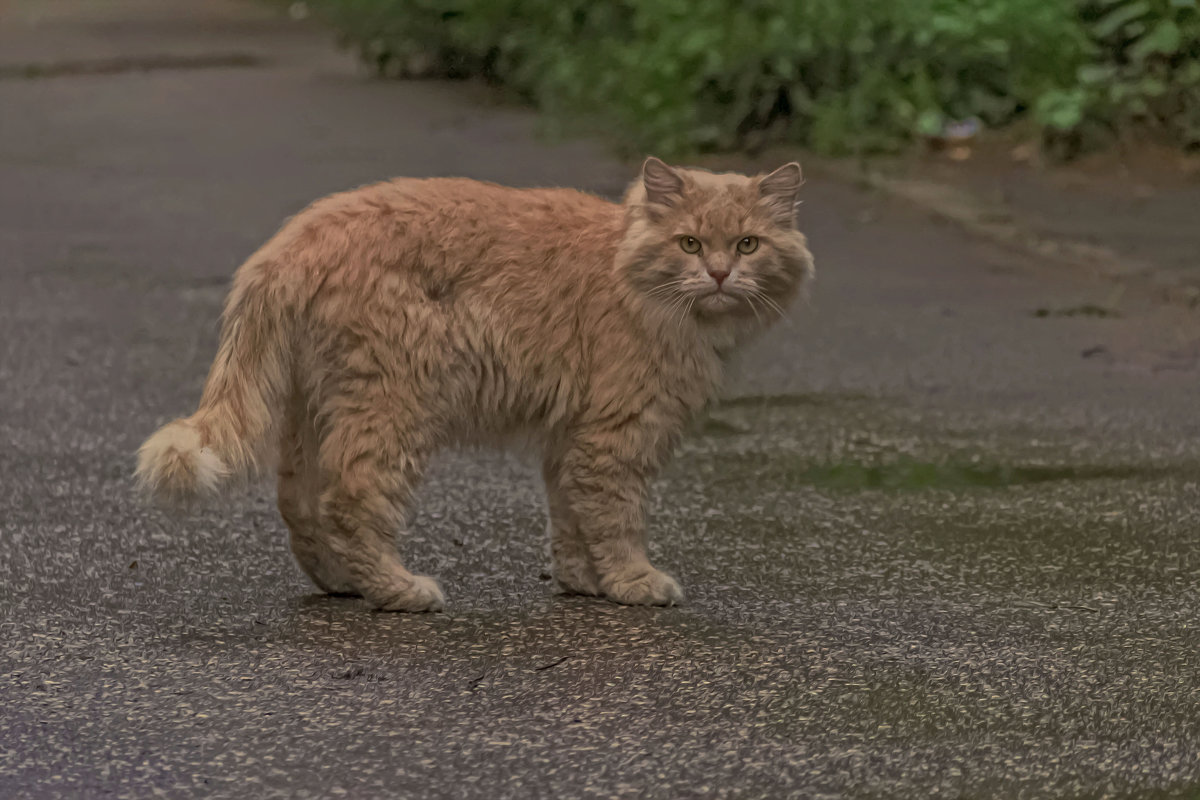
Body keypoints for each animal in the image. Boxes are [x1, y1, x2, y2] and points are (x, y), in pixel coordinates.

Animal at [138, 158, 816, 614]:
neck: (625, 272)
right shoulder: (616, 435)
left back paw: (343, 582)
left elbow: (572, 519)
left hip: (317, 409)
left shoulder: (571, 439)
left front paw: (585, 583)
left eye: (748, 244)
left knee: (299, 502)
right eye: (690, 243)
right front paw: (632, 582)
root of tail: (290, 243)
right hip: (396, 405)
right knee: (350, 497)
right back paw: (397, 590)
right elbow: (617, 519)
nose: (721, 274)